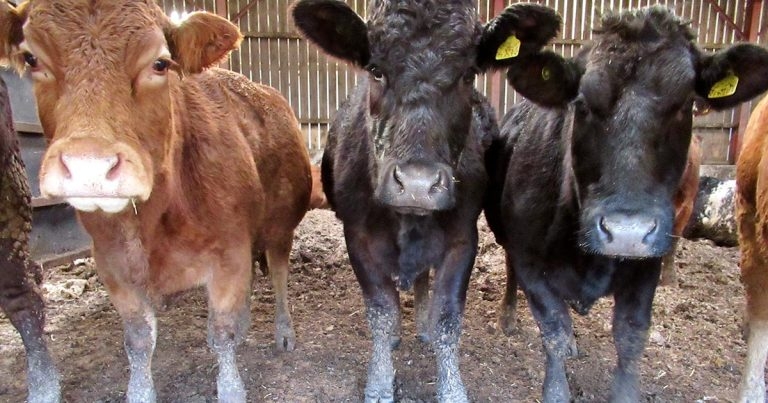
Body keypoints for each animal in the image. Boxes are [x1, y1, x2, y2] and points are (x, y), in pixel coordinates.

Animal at [0, 1, 312, 401]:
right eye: (31, 59)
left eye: (160, 64)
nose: (89, 166)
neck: (154, 217)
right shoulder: (113, 265)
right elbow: (139, 340)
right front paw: (140, 391)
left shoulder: (229, 254)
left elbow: (222, 333)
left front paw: (231, 388)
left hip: (279, 228)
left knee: (278, 274)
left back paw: (284, 332)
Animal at [292, 1, 561, 401]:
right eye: (376, 70)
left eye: (468, 75)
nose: (417, 184)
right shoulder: (357, 237)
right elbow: (382, 312)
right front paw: (379, 382)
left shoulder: (463, 238)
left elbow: (448, 316)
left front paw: (452, 388)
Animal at [484, 6, 768, 401]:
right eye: (582, 104)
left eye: (686, 105)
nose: (627, 233)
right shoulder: (531, 263)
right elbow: (553, 331)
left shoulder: (646, 268)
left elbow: (630, 337)